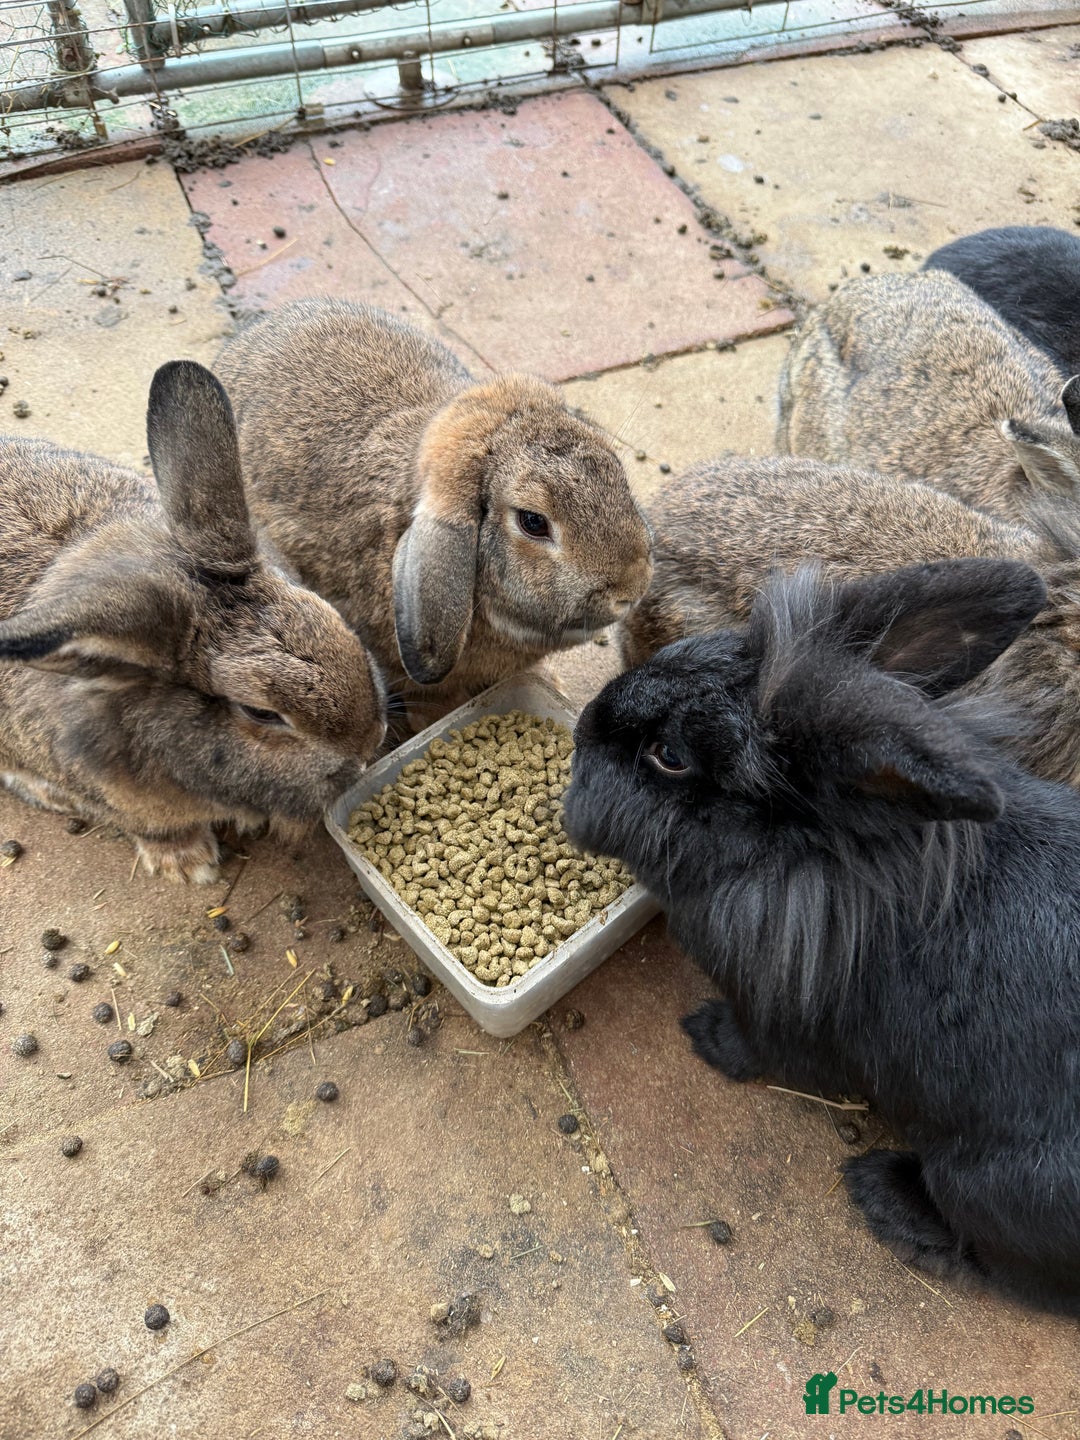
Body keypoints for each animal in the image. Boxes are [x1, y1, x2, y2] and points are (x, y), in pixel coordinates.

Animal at [565, 557, 1080, 1318]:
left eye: (668, 756)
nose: (581, 730)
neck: (811, 862)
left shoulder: (780, 1022)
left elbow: (757, 1048)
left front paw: (705, 1036)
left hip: (989, 1184)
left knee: (1007, 1269)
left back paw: (882, 1195)